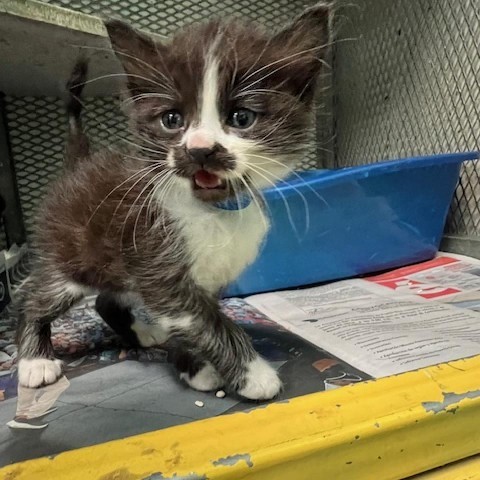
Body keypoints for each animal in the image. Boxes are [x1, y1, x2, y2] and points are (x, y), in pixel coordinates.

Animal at [15, 4, 330, 402]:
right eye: (171, 119)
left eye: (241, 117)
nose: (200, 149)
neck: (212, 212)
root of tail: (78, 164)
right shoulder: (157, 262)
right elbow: (206, 321)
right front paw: (253, 374)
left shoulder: (203, 280)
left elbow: (196, 320)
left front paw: (194, 366)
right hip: (70, 258)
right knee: (35, 297)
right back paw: (35, 361)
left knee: (105, 299)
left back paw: (141, 332)